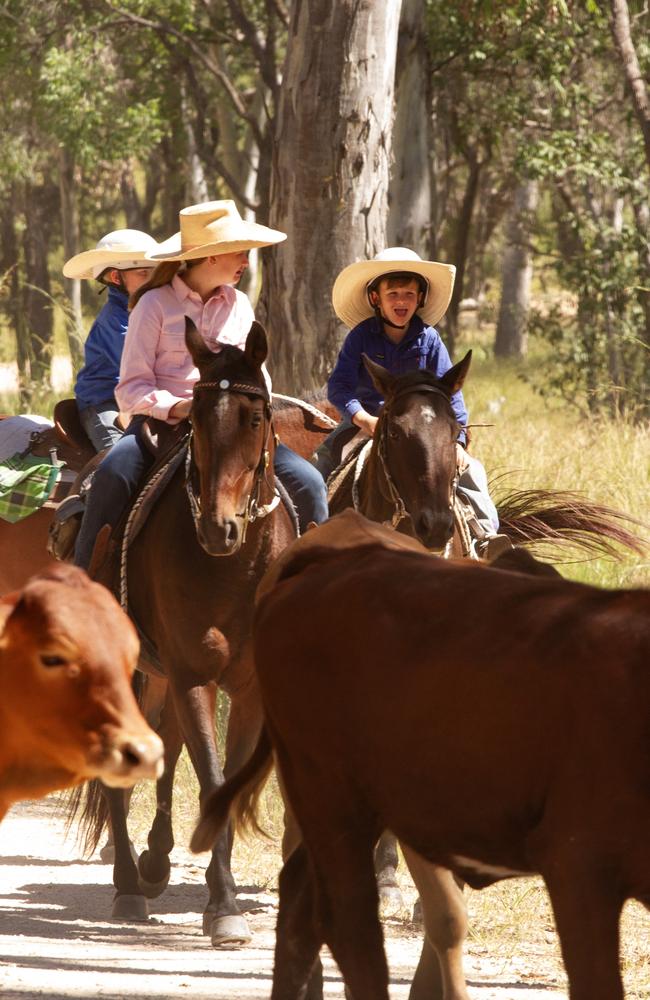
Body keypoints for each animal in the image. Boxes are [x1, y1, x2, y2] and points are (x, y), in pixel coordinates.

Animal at [73, 320, 294, 944]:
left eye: (254, 417)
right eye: (194, 418)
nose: (219, 528)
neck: (233, 569)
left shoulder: (248, 689)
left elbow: (222, 778)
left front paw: (221, 903)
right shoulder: (194, 675)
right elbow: (210, 776)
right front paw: (224, 905)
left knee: (164, 748)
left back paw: (154, 863)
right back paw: (129, 884)